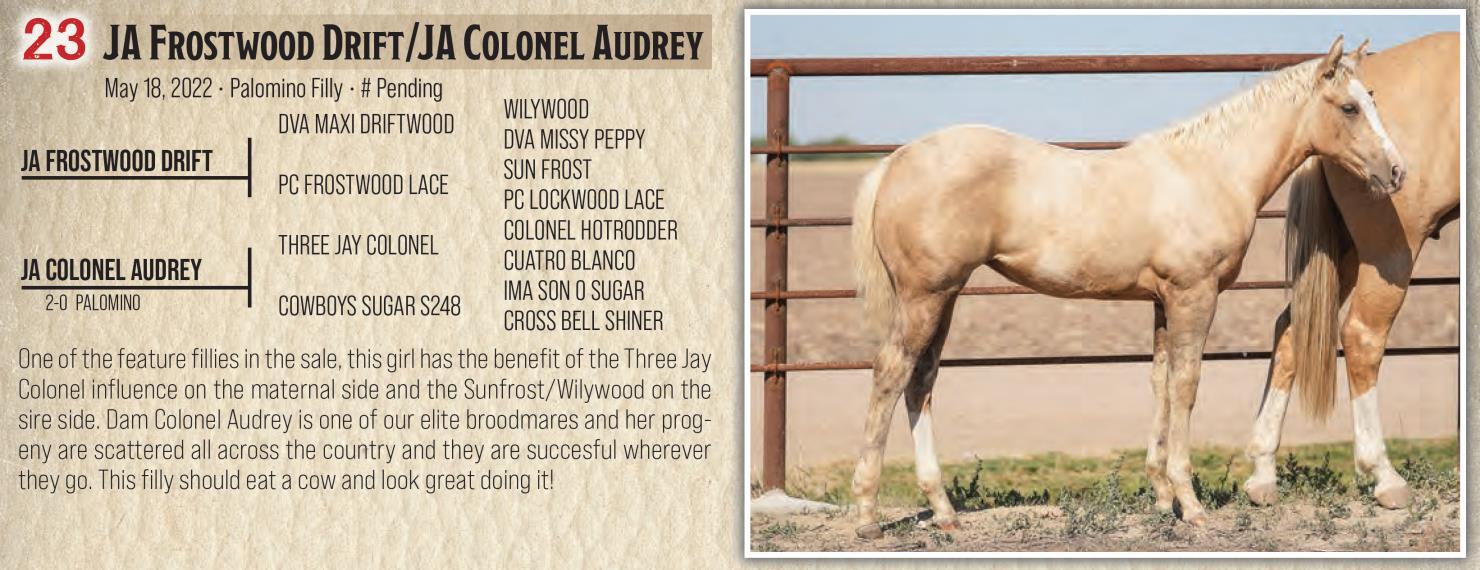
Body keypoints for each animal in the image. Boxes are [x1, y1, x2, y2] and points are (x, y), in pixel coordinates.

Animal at [848, 36, 1404, 538]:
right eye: (1350, 107)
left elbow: (1160, 384)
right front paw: (1191, 504)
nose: (1397, 171)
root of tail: (894, 162)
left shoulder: (1161, 302)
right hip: (925, 296)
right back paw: (868, 515)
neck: (1209, 172)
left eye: (1375, 99)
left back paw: (943, 511)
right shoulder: (1194, 295)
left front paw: (1161, 497)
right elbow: (1186, 386)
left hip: (943, 298)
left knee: (920, 383)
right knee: (891, 373)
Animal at [1243, 32, 1460, 510]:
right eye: (1350, 108)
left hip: (1343, 252)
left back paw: (1263, 472)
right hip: (1388, 252)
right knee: (1362, 336)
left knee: (1291, 329)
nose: (1395, 170)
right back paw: (1385, 476)